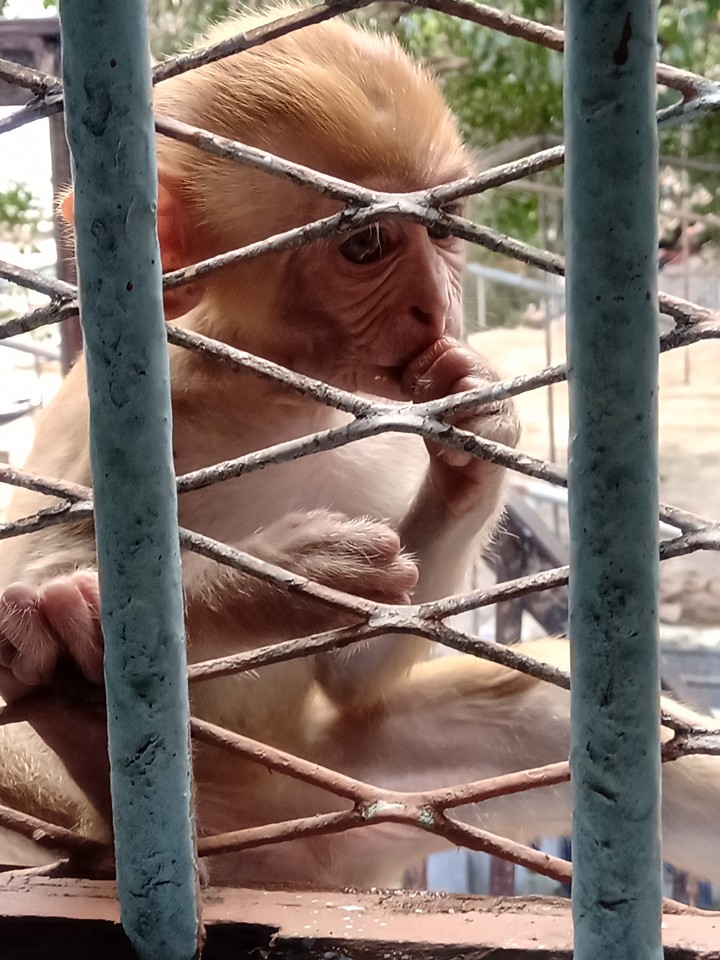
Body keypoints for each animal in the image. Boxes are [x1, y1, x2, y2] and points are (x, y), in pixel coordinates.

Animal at [0, 7, 719, 890]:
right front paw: (280, 580)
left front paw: (477, 439)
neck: (279, 396)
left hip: (350, 796)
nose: (435, 308)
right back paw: (86, 710)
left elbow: (357, 668)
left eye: (441, 233)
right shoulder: (124, 404)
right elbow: (28, 578)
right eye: (368, 245)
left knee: (533, 711)